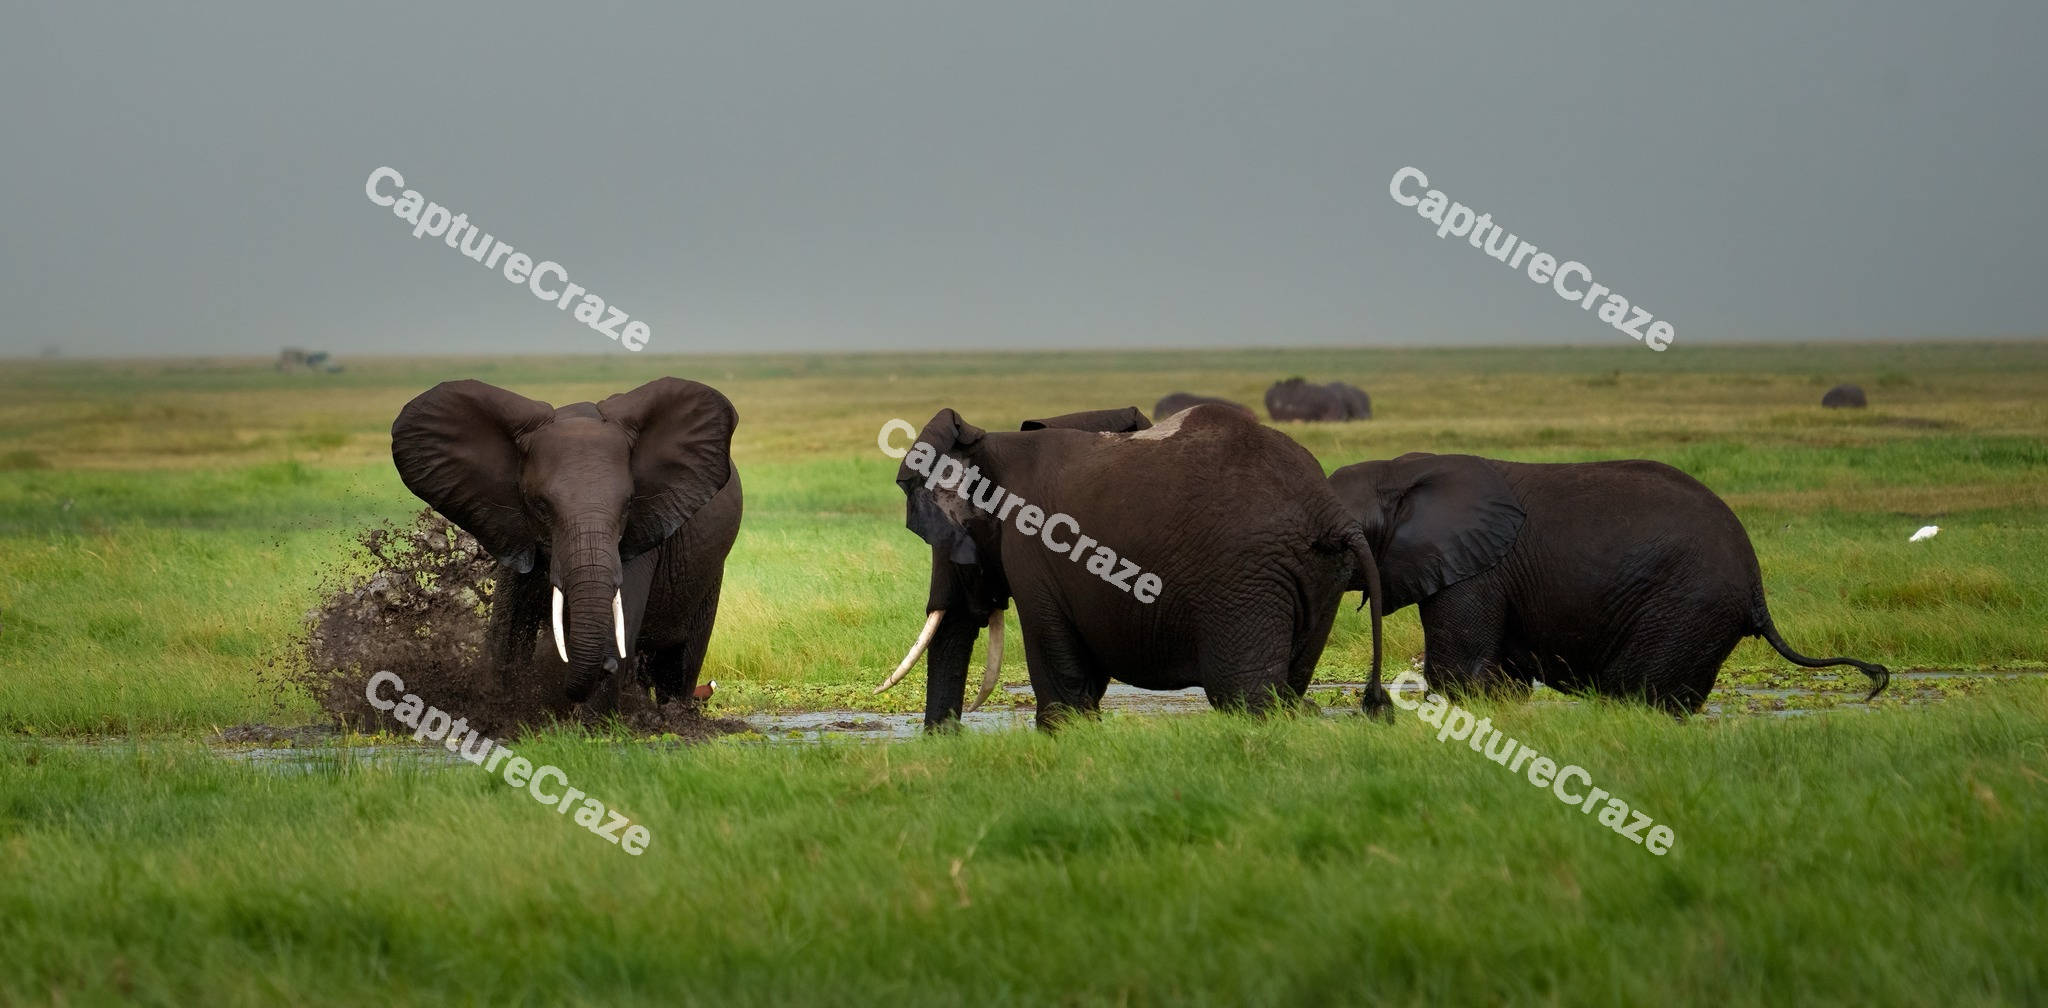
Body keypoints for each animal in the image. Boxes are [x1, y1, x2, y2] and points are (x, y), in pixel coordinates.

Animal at [391, 377, 742, 711]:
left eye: (628, 505)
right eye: (540, 505)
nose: (607, 665)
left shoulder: (640, 534)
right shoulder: (516, 531)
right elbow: (507, 631)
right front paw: (504, 712)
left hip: (709, 573)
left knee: (680, 661)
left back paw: (673, 716)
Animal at [876, 404, 1384, 730]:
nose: (947, 737)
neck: (995, 445)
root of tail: (1329, 513)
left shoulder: (1032, 552)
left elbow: (1060, 668)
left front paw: (1065, 732)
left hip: (1245, 578)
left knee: (1244, 695)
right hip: (1317, 577)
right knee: (1289, 684)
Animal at [1329, 452, 1888, 715]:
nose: (1373, 704)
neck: (1399, 473)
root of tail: (1757, 591)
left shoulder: (1477, 569)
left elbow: (1459, 673)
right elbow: (1503, 681)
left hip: (1685, 605)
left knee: (1638, 690)